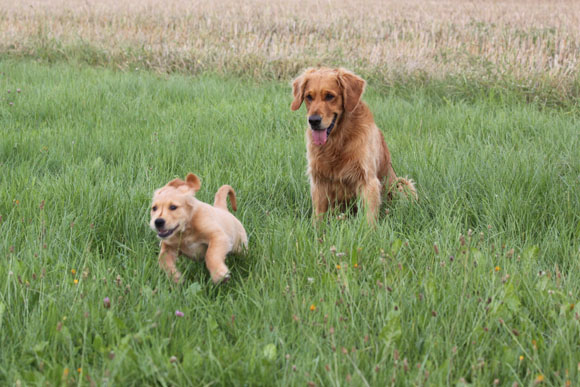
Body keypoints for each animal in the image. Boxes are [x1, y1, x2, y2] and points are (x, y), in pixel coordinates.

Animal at [290, 67, 416, 224]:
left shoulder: (367, 180)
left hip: (403, 183)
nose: (313, 120)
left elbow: (369, 218)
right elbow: (318, 217)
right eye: (309, 97)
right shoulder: (318, 180)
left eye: (330, 96)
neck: (338, 139)